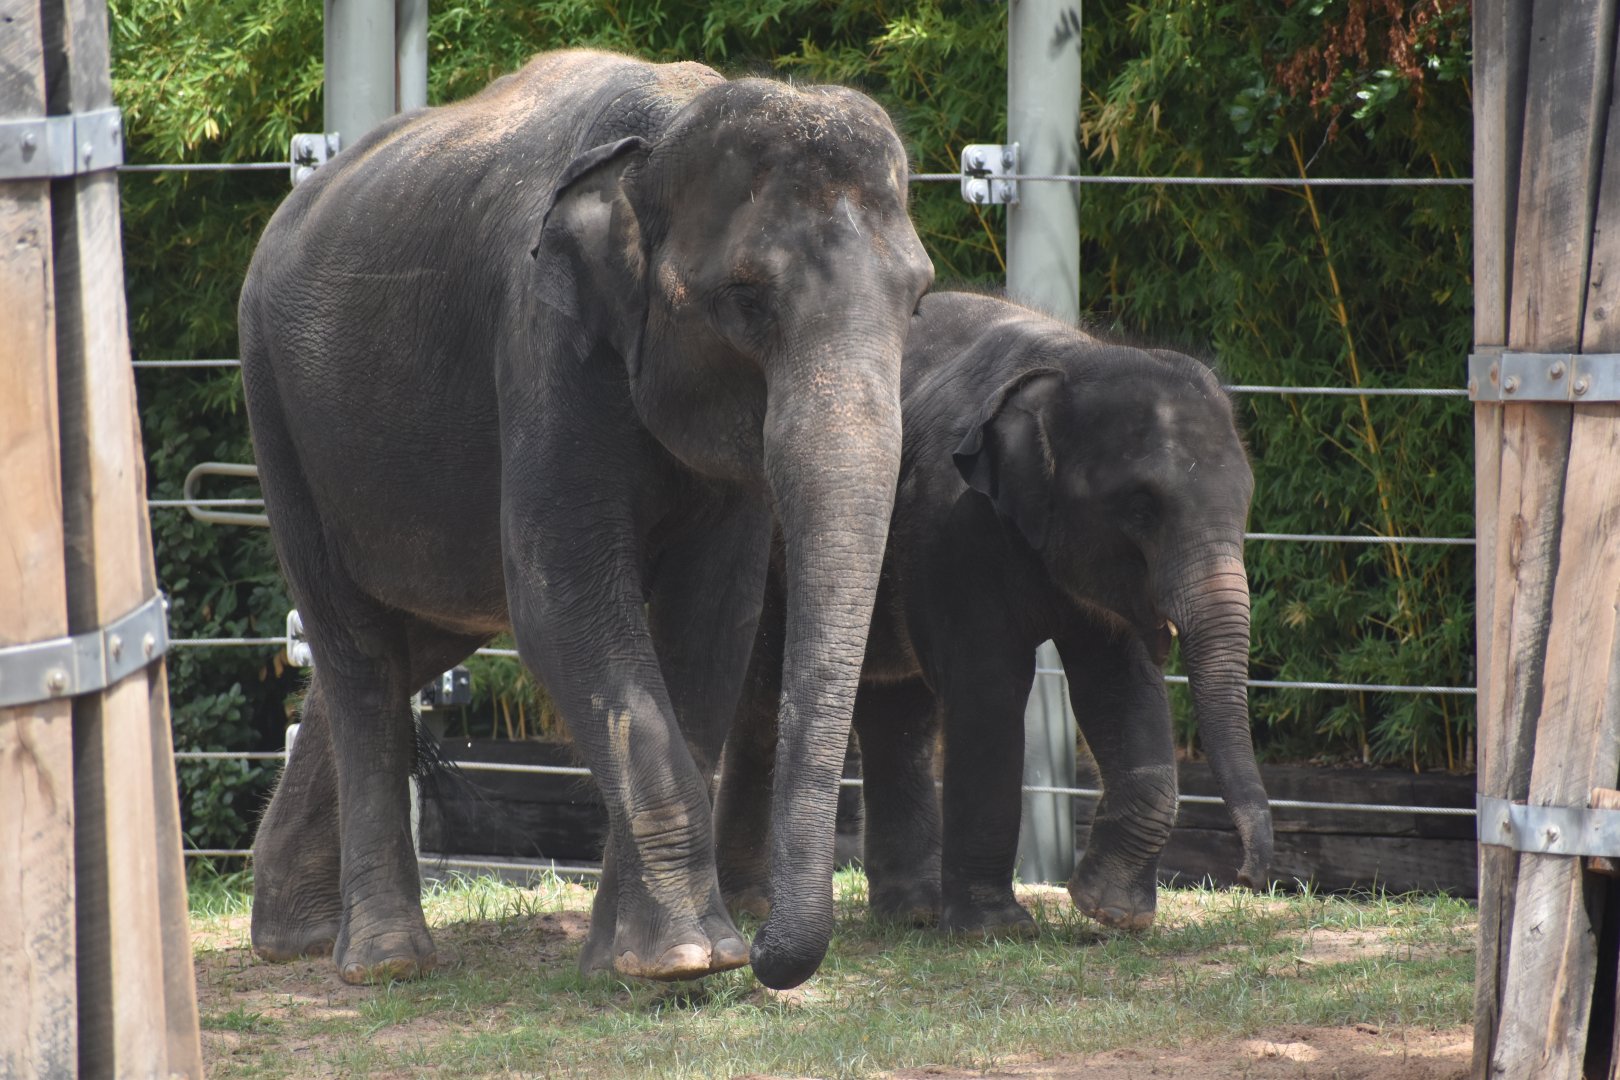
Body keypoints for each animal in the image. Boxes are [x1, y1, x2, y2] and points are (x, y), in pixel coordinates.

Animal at [236, 49, 933, 991]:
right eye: (746, 298)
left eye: (919, 301)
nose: (767, 954)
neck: (667, 127)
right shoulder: (542, 336)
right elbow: (560, 601)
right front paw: (687, 959)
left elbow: (715, 620)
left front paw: (629, 960)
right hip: (276, 405)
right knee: (357, 648)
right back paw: (383, 964)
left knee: (418, 637)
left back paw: (293, 937)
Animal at [713, 291, 1271, 936]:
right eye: (1140, 507)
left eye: (1247, 500)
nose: (1248, 875)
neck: (1068, 359)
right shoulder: (950, 517)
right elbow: (989, 684)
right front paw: (996, 930)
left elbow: (1121, 685)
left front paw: (1111, 911)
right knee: (762, 696)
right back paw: (753, 907)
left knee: (897, 710)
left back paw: (913, 913)